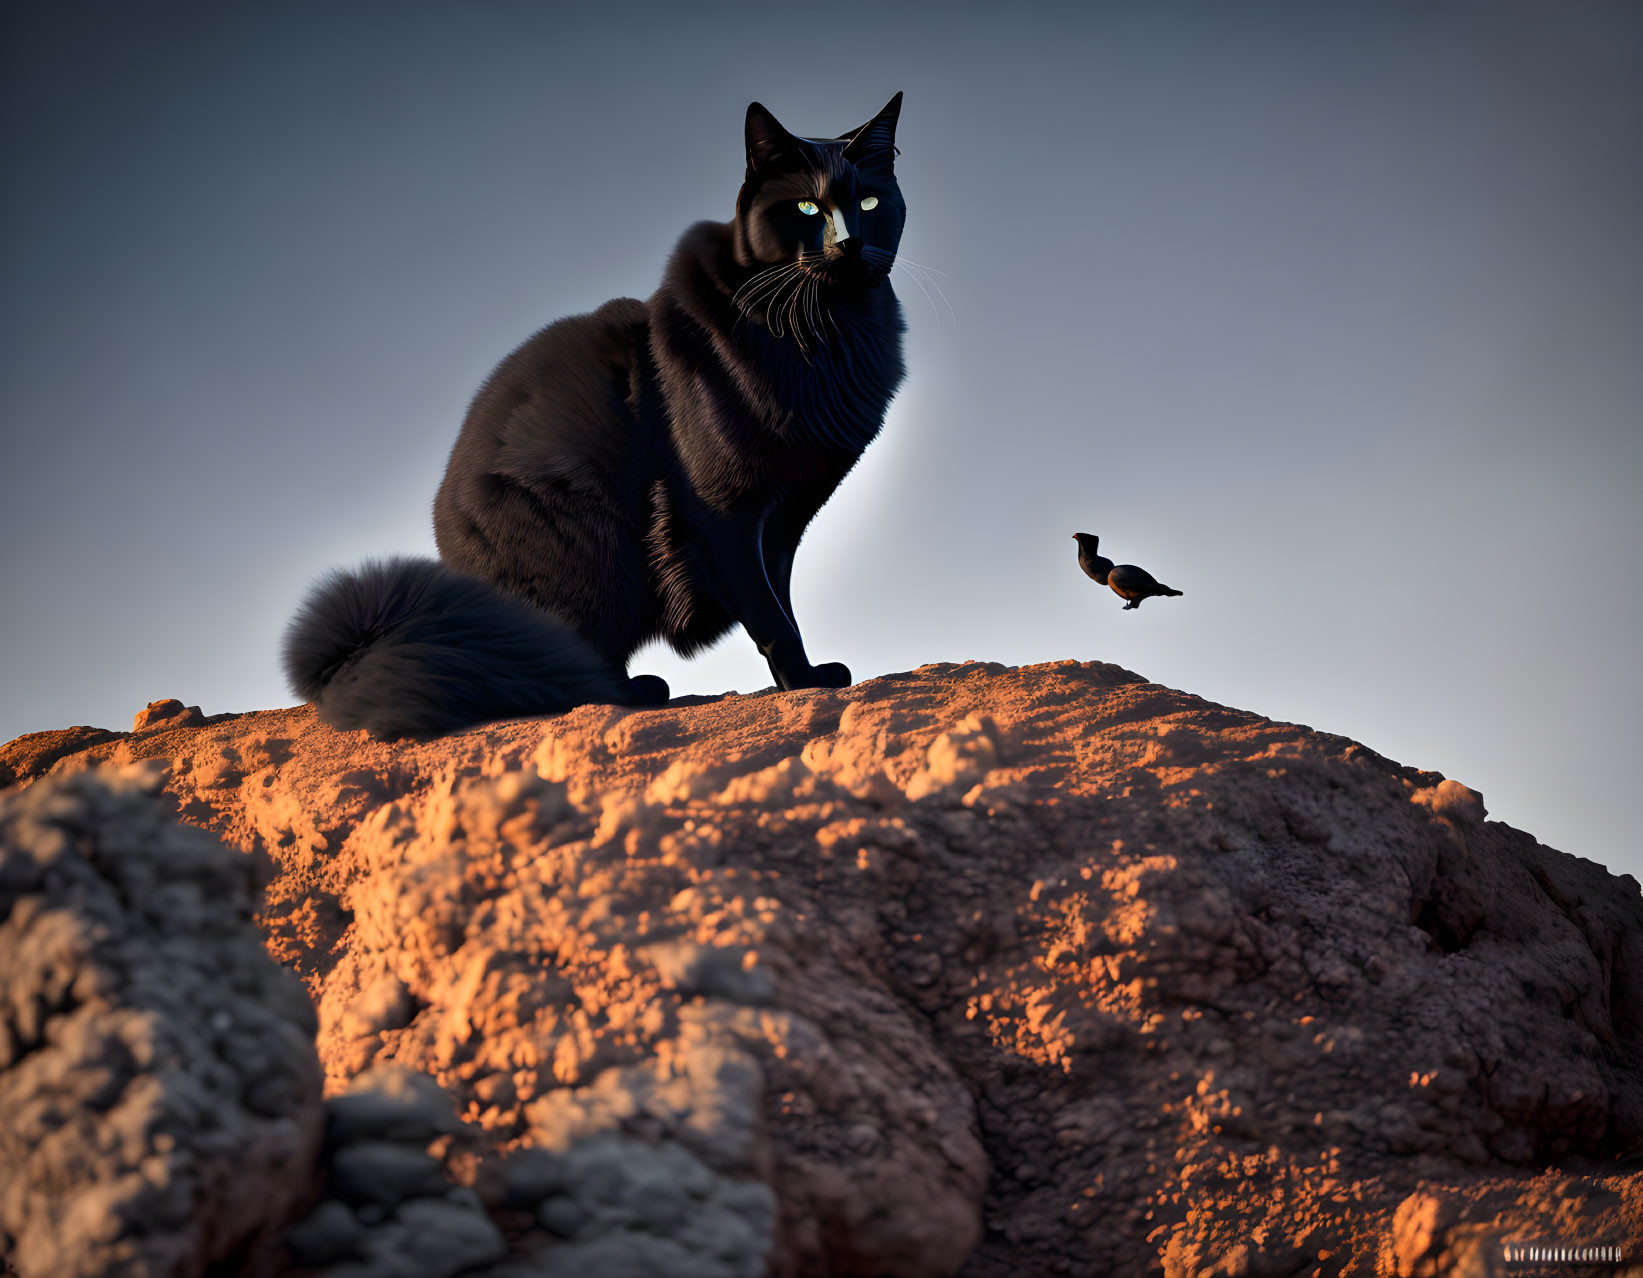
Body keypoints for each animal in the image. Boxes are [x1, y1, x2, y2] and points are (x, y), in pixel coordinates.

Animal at [277, 94, 906, 742]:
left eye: (869, 203)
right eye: (806, 205)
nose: (849, 244)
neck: (827, 332)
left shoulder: (785, 517)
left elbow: (781, 602)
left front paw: (804, 676)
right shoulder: (722, 511)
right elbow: (768, 613)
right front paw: (803, 681)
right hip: (590, 547)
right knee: (554, 673)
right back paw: (638, 689)